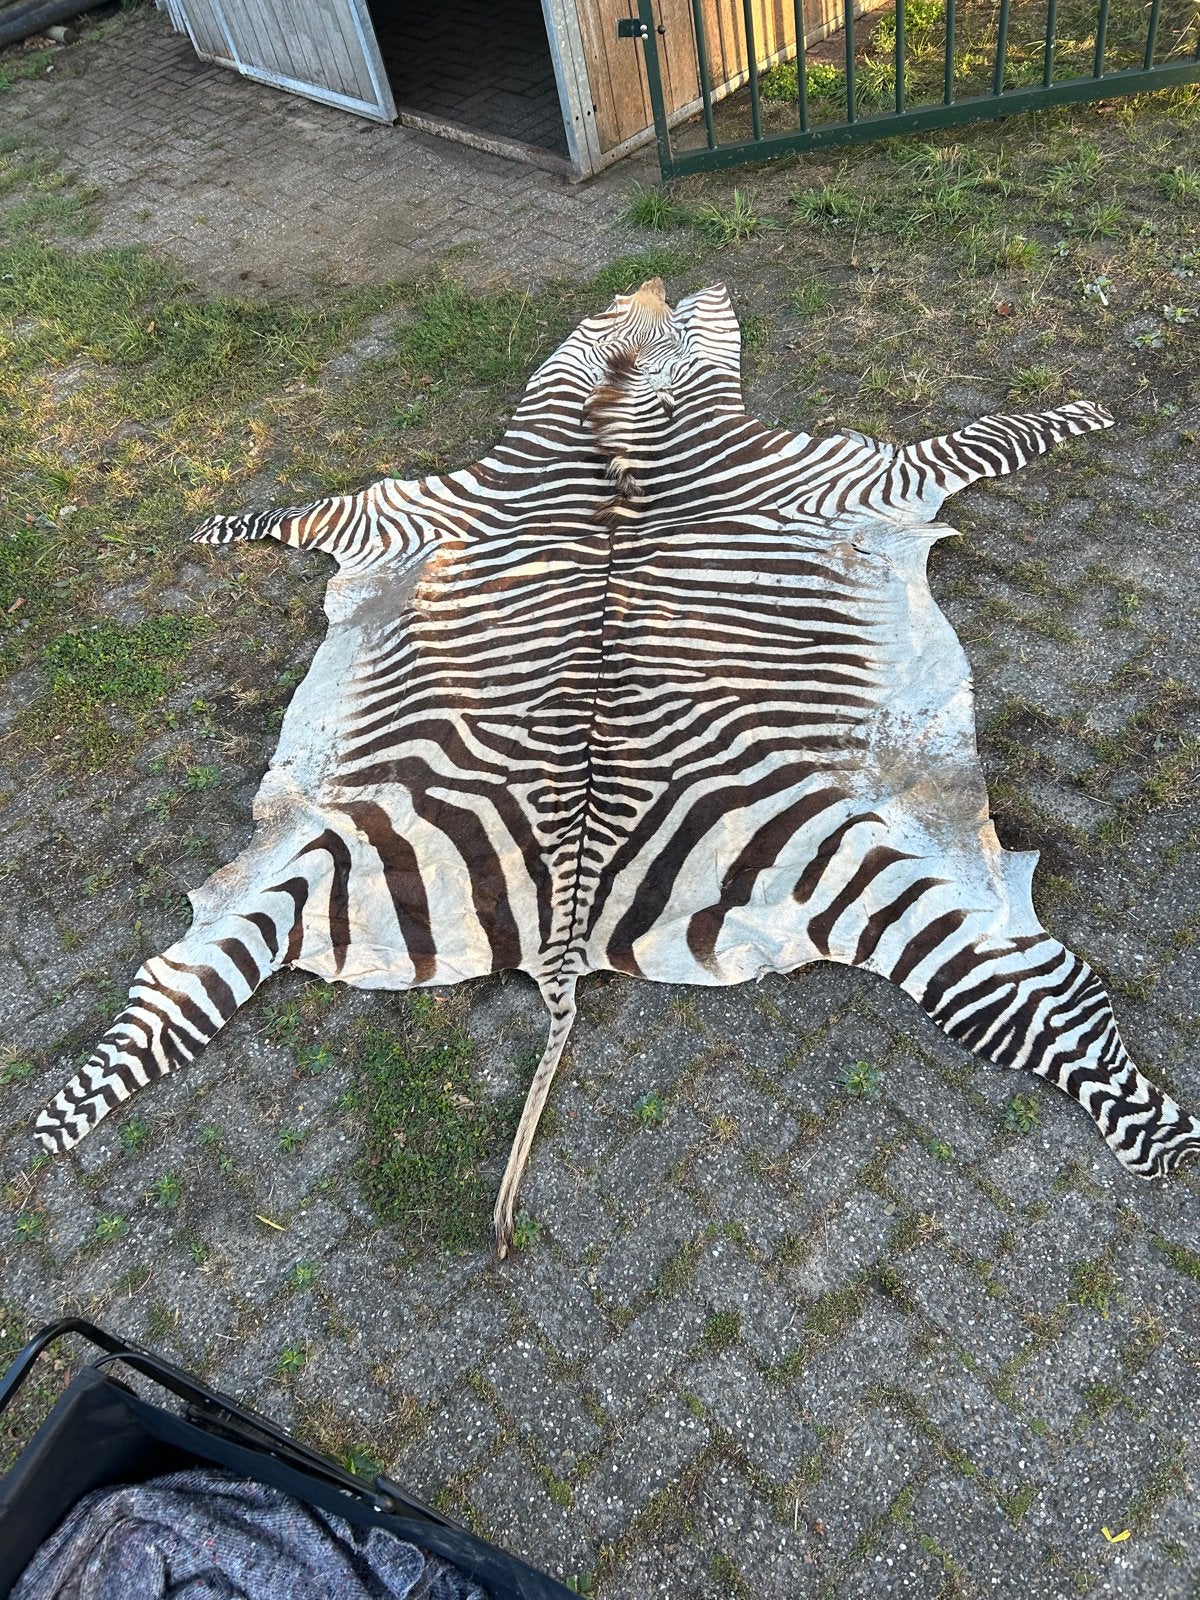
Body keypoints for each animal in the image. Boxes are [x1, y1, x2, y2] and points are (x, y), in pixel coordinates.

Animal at [35, 278, 1200, 1253]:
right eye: (616, 314)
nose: (666, 274)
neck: (620, 434)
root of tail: (565, 929)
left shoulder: (410, 514)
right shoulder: (868, 476)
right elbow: (994, 436)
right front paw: (1085, 412)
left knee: (177, 977)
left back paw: (43, 1127)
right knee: (1052, 1007)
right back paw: (1183, 1145)